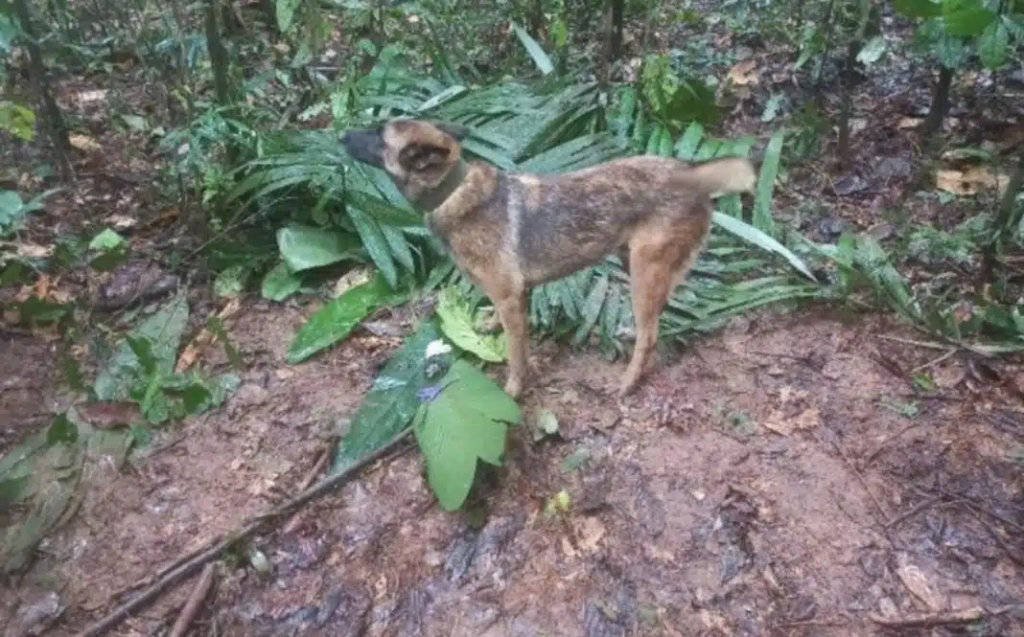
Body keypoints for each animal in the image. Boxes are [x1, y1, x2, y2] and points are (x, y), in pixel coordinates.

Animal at [346, 119, 761, 399]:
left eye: (378, 134)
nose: (340, 135)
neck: (452, 191)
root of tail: (690, 173)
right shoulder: (514, 294)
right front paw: (489, 326)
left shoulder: (511, 297)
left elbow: (516, 355)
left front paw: (514, 390)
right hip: (635, 262)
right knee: (657, 314)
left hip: (645, 268)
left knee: (651, 334)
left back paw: (628, 381)